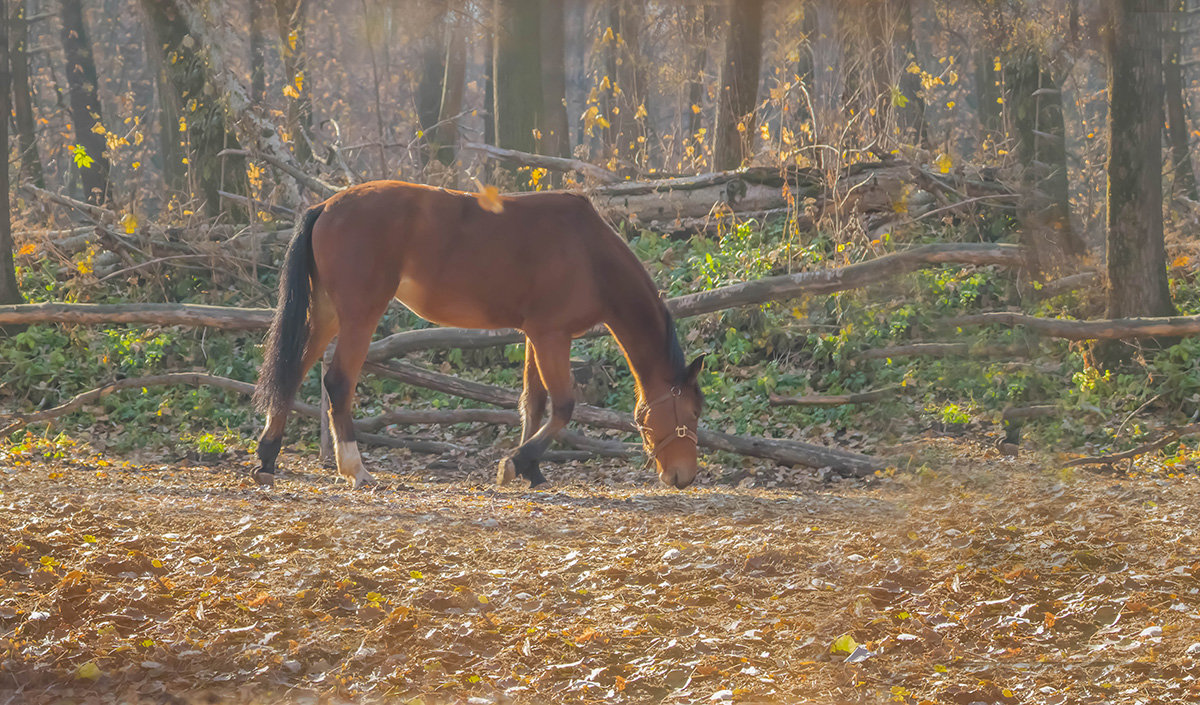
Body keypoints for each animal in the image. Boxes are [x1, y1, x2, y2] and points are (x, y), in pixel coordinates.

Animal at [253, 182, 700, 489]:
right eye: (692, 413)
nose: (684, 476)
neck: (589, 254)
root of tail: (326, 206)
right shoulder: (551, 335)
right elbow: (563, 406)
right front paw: (517, 462)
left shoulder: (534, 336)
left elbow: (533, 402)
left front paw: (531, 470)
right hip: (360, 316)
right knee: (338, 383)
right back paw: (355, 468)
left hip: (327, 314)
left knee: (292, 372)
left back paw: (267, 457)